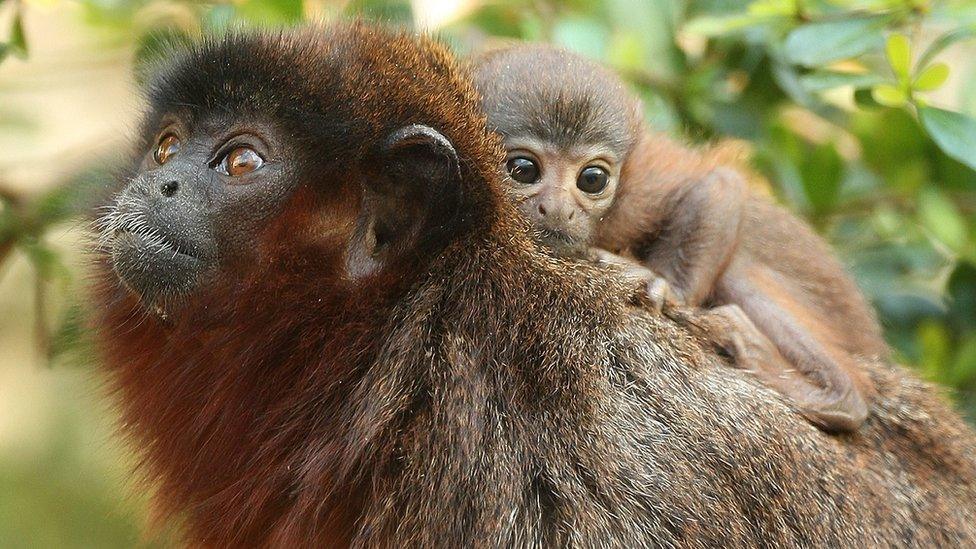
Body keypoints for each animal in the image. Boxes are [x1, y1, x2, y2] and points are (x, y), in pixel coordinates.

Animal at [472, 46, 892, 432]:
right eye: (523, 170)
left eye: (592, 179)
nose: (558, 209)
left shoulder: (639, 192)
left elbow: (718, 188)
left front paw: (661, 285)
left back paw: (833, 395)